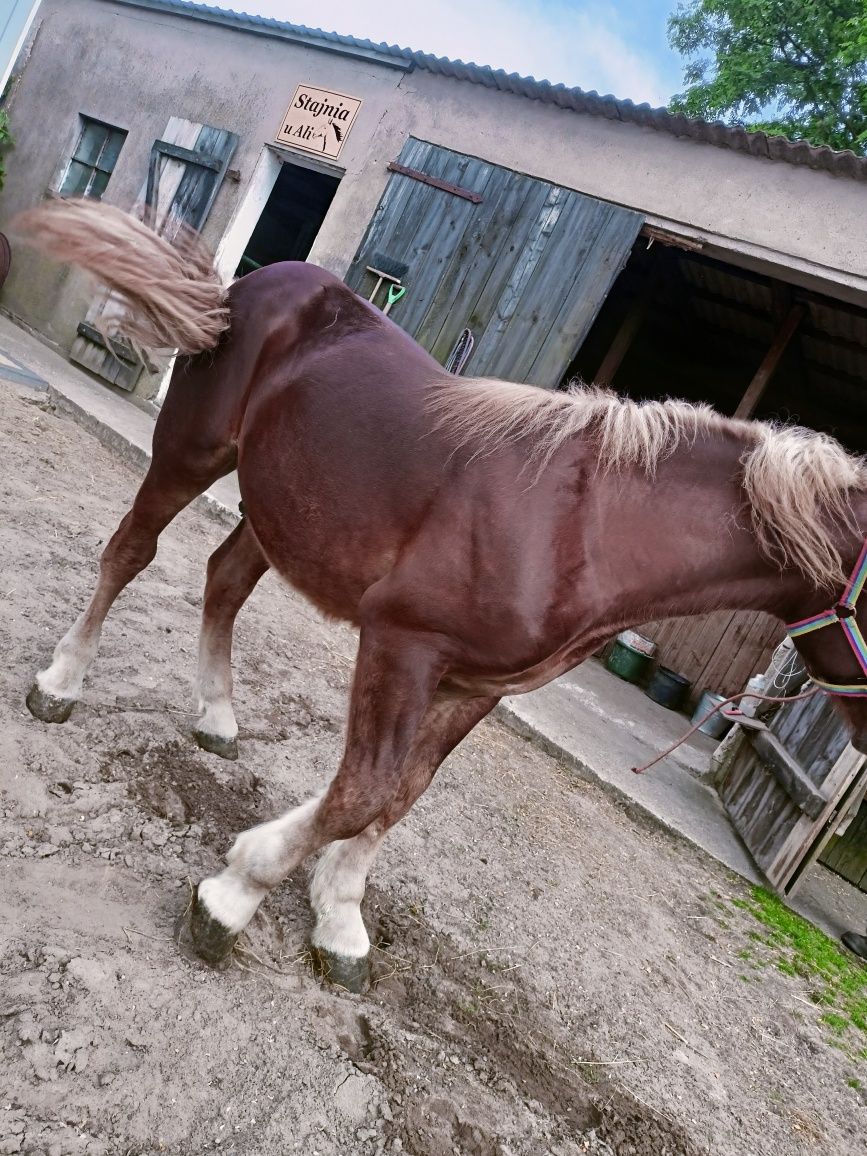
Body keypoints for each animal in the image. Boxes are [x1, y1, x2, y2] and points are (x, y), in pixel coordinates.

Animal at [15, 203, 867, 989]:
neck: (581, 529)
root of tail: (252, 286)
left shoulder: (477, 686)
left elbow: (402, 795)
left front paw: (339, 918)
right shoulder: (403, 642)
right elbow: (362, 790)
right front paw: (234, 893)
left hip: (280, 508)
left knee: (223, 581)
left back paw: (217, 717)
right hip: (190, 452)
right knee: (129, 553)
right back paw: (60, 683)